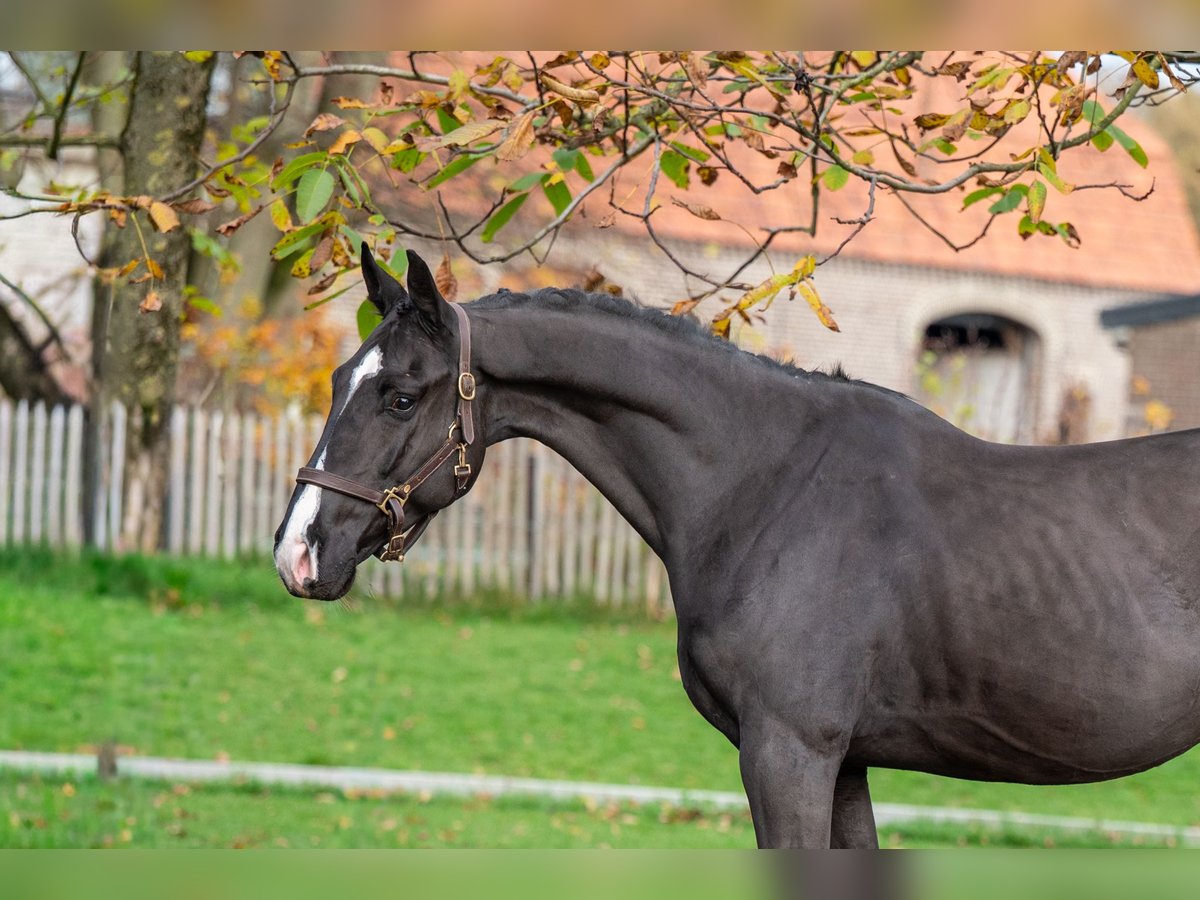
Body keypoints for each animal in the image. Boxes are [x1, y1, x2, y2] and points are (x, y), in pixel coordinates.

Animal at [275, 245, 1200, 848]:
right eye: (338, 379)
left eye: (400, 397)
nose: (298, 553)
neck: (769, 484)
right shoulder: (845, 767)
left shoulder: (790, 754)